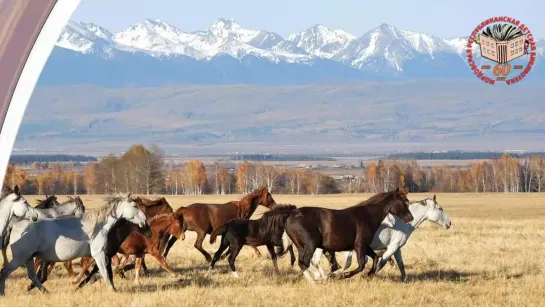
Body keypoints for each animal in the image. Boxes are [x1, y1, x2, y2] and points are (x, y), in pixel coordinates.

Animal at [0, 194, 148, 298]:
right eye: (135, 206)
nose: (145, 222)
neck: (99, 227)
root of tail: (15, 225)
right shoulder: (99, 254)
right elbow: (105, 272)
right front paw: (112, 290)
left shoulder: (103, 255)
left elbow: (104, 270)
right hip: (20, 258)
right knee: (5, 272)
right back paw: (3, 293)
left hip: (29, 258)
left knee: (32, 276)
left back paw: (46, 292)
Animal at [280, 196, 450, 282]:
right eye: (440, 209)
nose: (449, 223)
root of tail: (290, 216)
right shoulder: (389, 247)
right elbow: (378, 262)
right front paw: (367, 276)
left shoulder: (395, 248)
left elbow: (400, 264)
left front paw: (404, 279)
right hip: (314, 246)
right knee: (310, 262)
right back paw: (319, 278)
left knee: (311, 263)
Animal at [284, 189, 412, 286]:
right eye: (403, 202)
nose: (410, 218)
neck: (368, 216)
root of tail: (291, 216)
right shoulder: (359, 246)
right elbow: (361, 265)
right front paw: (342, 275)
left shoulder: (365, 246)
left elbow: (375, 258)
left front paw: (369, 275)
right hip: (311, 245)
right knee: (304, 262)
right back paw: (316, 281)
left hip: (301, 247)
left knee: (304, 263)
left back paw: (321, 277)